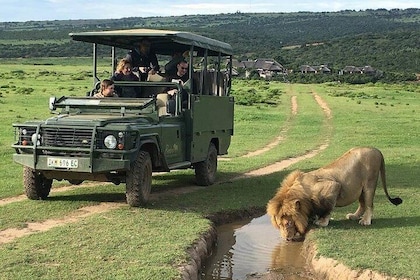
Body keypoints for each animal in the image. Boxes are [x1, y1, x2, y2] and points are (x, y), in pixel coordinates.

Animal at [268, 148, 402, 242]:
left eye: (289, 223)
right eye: (279, 224)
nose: (286, 238)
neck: (302, 193)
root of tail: (377, 150)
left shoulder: (333, 186)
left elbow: (327, 209)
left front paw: (322, 222)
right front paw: (314, 218)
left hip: (369, 183)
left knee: (369, 204)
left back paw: (365, 221)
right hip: (360, 189)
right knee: (362, 204)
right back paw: (354, 216)